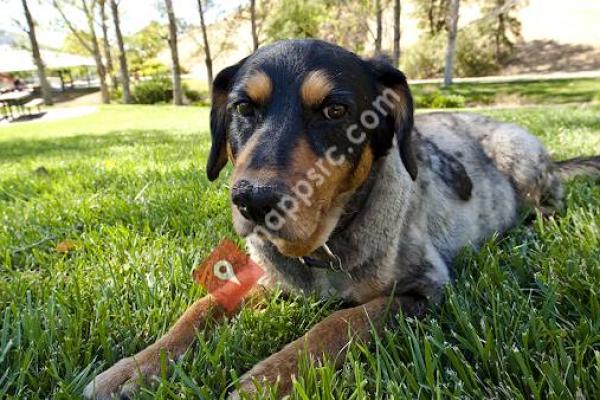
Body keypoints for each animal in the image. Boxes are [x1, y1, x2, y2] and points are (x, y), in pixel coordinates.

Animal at [85, 39, 600, 398]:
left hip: (521, 160)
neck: (323, 249)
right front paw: (136, 368)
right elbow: (204, 306)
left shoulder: (425, 291)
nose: (253, 201)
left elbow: (342, 322)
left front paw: (268, 379)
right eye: (243, 107)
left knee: (550, 206)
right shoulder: (268, 277)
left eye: (335, 110)